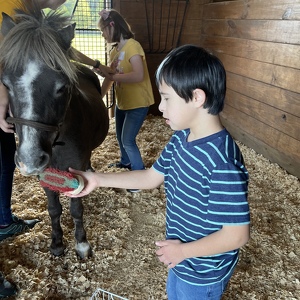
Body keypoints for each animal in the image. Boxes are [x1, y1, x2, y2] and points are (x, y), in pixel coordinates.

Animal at [0, 5, 109, 258]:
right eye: (6, 84)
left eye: (62, 86)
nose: (30, 160)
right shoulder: (46, 175)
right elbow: (54, 209)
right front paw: (57, 243)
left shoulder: (76, 170)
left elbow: (76, 208)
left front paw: (81, 243)